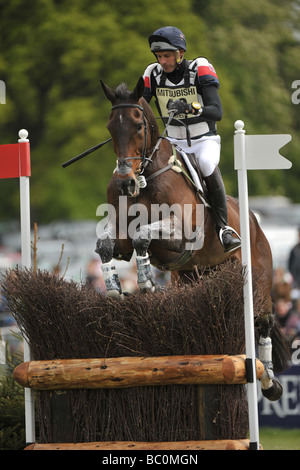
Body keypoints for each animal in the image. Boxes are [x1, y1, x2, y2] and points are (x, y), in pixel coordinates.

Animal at [96, 76, 290, 400]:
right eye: (111, 128)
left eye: (137, 126)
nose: (125, 183)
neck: (146, 176)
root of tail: (254, 221)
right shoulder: (121, 234)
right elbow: (107, 245)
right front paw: (113, 287)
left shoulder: (182, 235)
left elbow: (142, 236)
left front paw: (146, 282)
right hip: (194, 277)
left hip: (259, 282)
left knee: (263, 323)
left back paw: (270, 382)